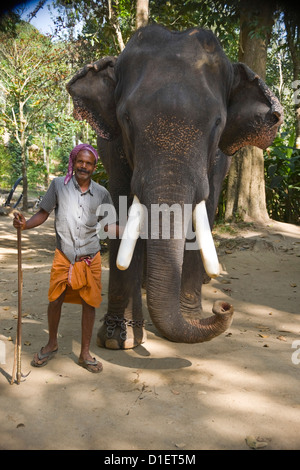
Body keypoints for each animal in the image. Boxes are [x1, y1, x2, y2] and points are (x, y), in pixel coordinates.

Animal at [66, 24, 284, 348]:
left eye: (217, 123)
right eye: (126, 119)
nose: (223, 307)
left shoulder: (216, 160)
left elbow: (203, 210)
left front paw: (191, 318)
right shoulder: (115, 147)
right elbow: (123, 208)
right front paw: (119, 340)